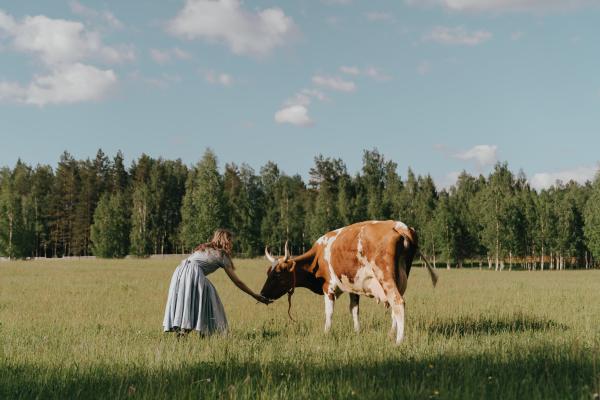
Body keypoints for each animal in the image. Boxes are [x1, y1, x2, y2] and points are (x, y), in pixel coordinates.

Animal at [260, 219, 438, 344]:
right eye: (268, 272)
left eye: (277, 274)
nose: (262, 294)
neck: (318, 255)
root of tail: (399, 226)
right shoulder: (354, 288)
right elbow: (354, 310)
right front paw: (357, 331)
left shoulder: (328, 287)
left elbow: (329, 312)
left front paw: (326, 332)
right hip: (400, 278)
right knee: (395, 306)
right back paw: (390, 334)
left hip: (386, 277)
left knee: (398, 303)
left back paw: (398, 340)